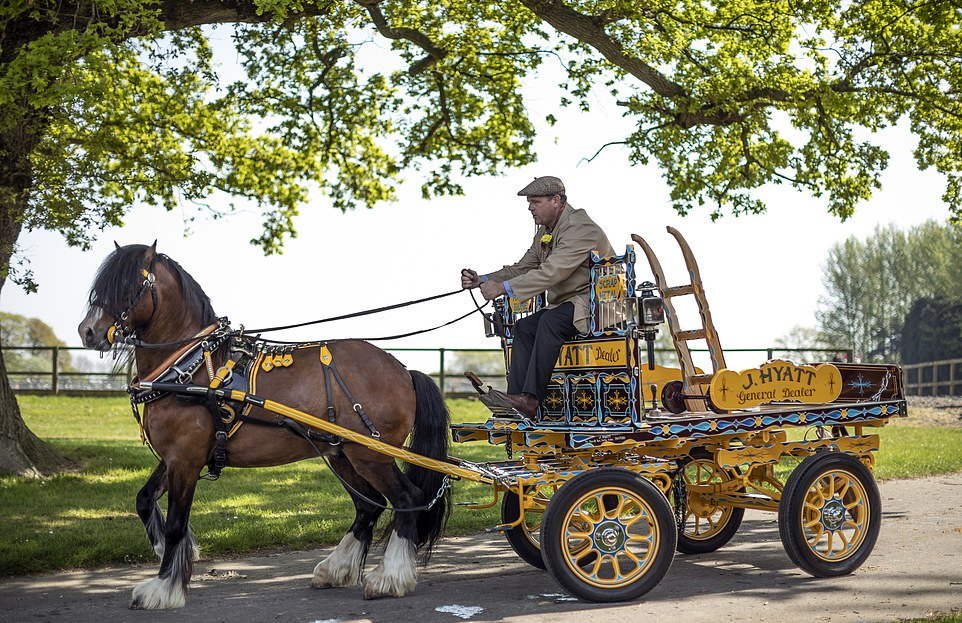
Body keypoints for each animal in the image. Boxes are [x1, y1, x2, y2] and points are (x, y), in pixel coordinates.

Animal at [76, 243, 450, 608]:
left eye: (128, 286)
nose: (87, 331)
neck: (190, 368)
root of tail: (403, 370)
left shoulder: (185, 459)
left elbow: (176, 524)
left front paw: (163, 588)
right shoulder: (173, 458)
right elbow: (144, 500)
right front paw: (176, 553)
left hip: (370, 454)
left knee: (407, 498)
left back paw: (390, 578)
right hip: (342, 454)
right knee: (369, 505)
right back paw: (336, 569)